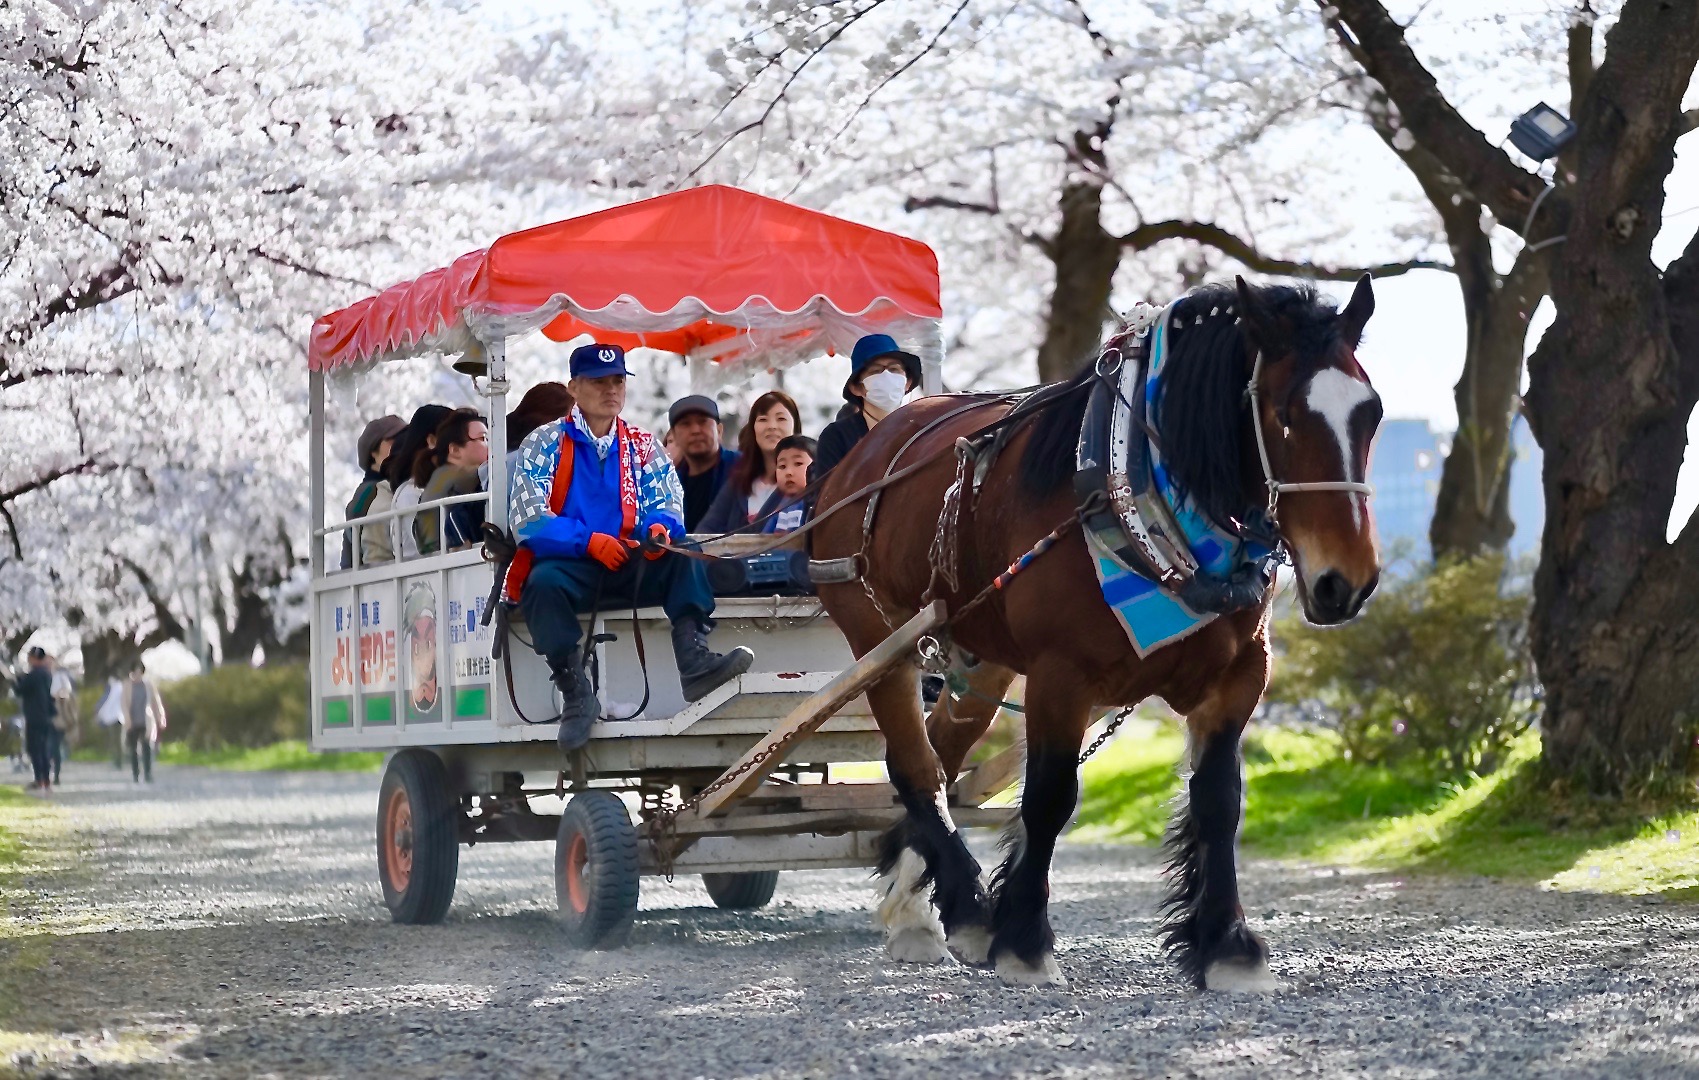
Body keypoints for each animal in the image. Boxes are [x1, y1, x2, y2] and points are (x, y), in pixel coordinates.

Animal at [808, 276, 1379, 984]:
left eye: (1372, 413)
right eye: (1284, 416)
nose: (1345, 581)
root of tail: (861, 456)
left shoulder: (1240, 674)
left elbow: (1219, 800)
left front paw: (1225, 944)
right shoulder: (1061, 673)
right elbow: (1050, 798)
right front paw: (1024, 940)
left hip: (979, 656)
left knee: (941, 754)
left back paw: (921, 905)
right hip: (880, 640)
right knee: (914, 765)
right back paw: (969, 908)